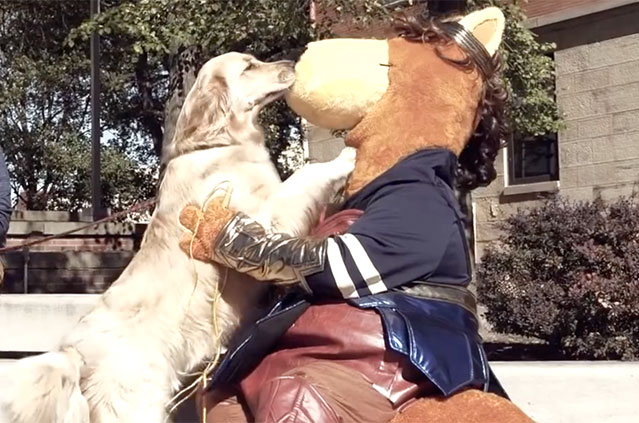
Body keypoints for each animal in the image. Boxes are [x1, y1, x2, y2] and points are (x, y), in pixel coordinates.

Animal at [0, 51, 356, 422]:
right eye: (249, 67)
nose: (291, 62)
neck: (218, 144)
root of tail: (75, 354)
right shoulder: (259, 225)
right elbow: (305, 175)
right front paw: (345, 156)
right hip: (139, 404)